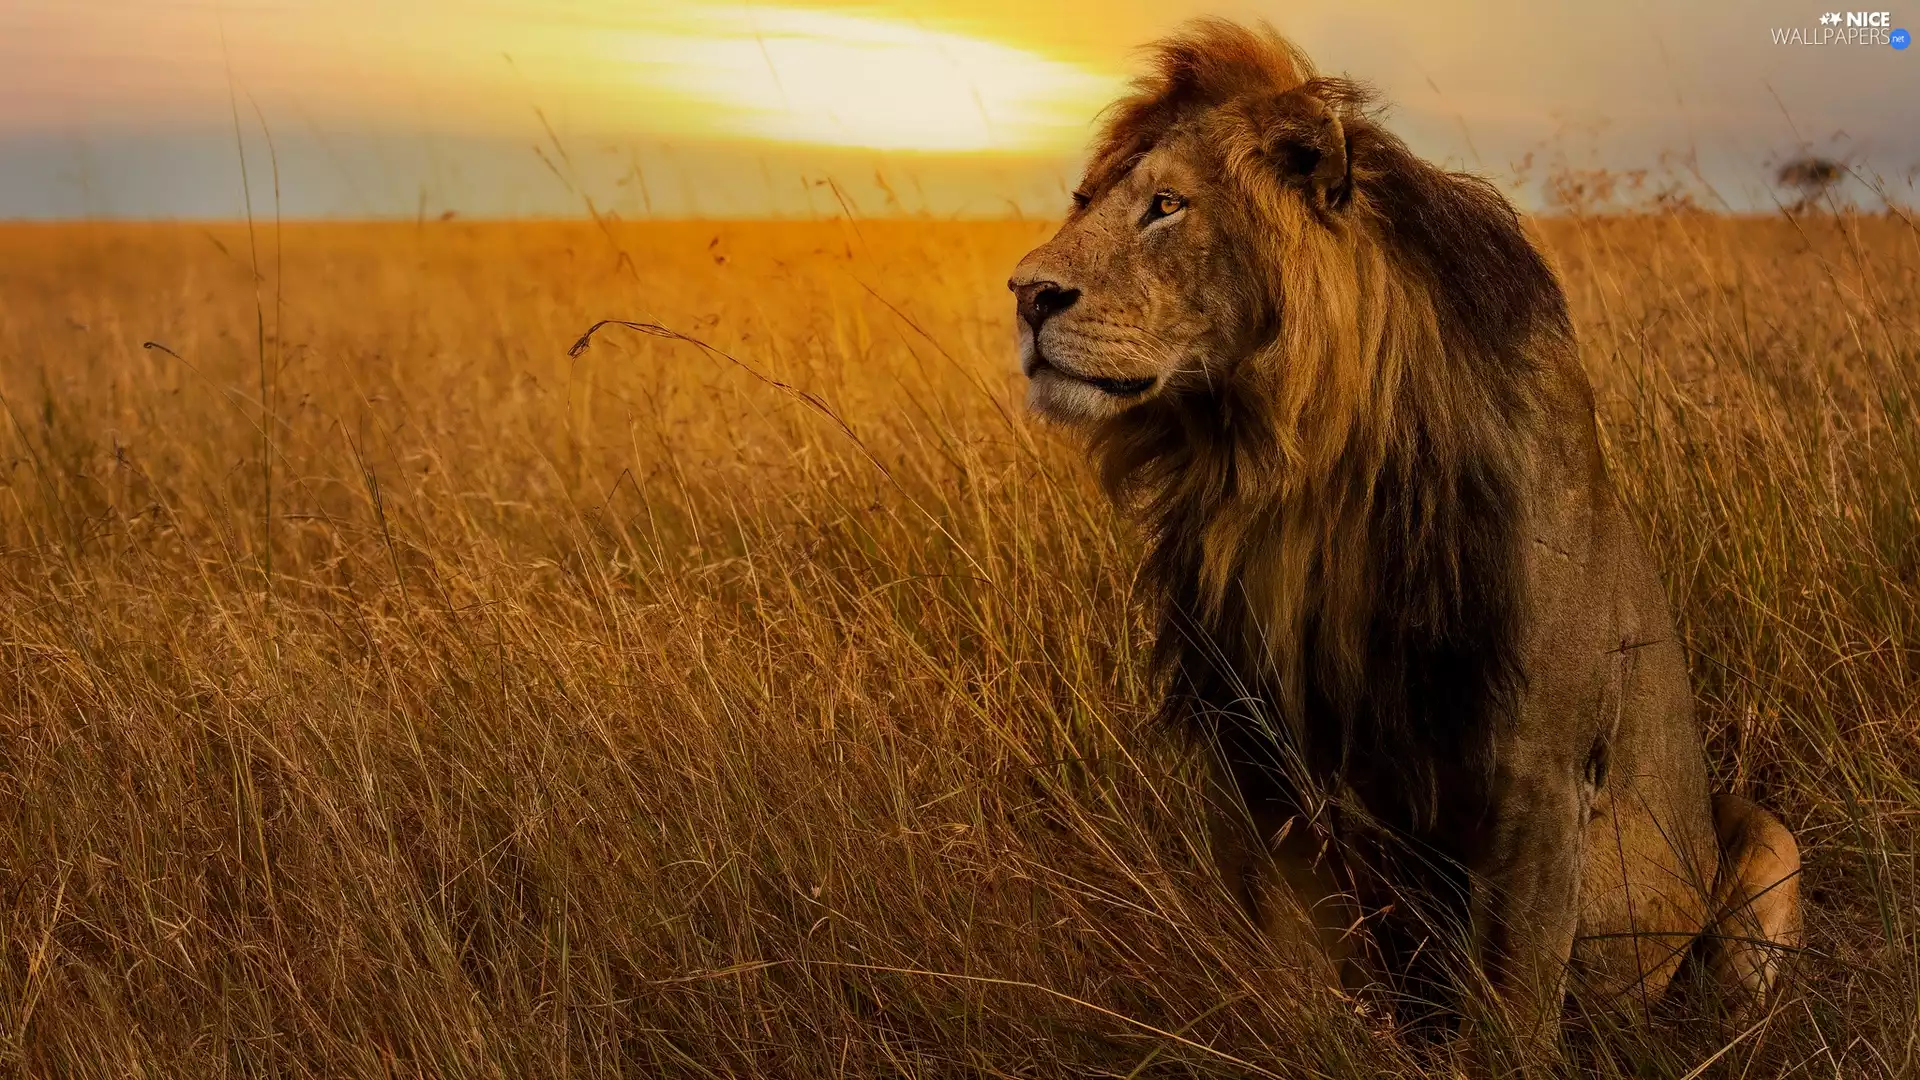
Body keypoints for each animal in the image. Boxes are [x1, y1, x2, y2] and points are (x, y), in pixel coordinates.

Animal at [1008, 19, 1802, 1053]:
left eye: (1167, 207)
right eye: (1084, 202)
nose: (1025, 295)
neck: (1286, 481)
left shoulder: (1540, 779)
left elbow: (1510, 1017)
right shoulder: (1253, 764)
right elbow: (1296, 986)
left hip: (1763, 841)